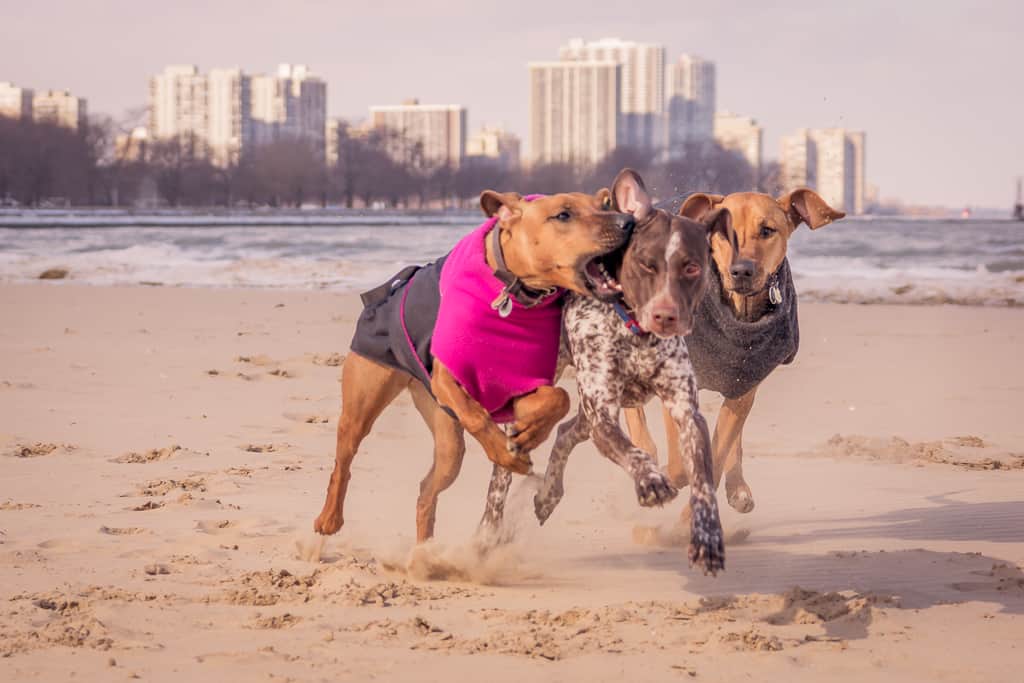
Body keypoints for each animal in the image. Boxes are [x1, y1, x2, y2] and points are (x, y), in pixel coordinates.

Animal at [481, 167, 733, 573]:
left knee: (566, 432)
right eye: (646, 264)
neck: (635, 334)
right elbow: (632, 451)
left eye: (692, 267)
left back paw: (548, 493)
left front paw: (707, 536)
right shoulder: (603, 413)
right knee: (500, 479)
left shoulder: (686, 412)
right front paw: (650, 481)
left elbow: (703, 481)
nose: (665, 315)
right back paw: (487, 533)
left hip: (587, 410)